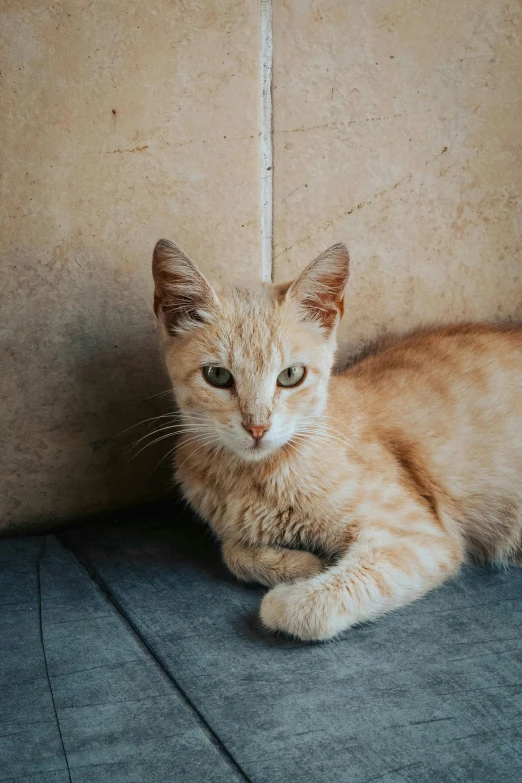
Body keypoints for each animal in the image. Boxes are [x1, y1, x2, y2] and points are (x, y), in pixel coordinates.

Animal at [151, 240, 520, 644]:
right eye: (217, 376)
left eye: (291, 375)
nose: (258, 426)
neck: (253, 478)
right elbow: (233, 551)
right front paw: (303, 563)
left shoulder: (420, 539)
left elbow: (306, 606)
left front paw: (293, 593)